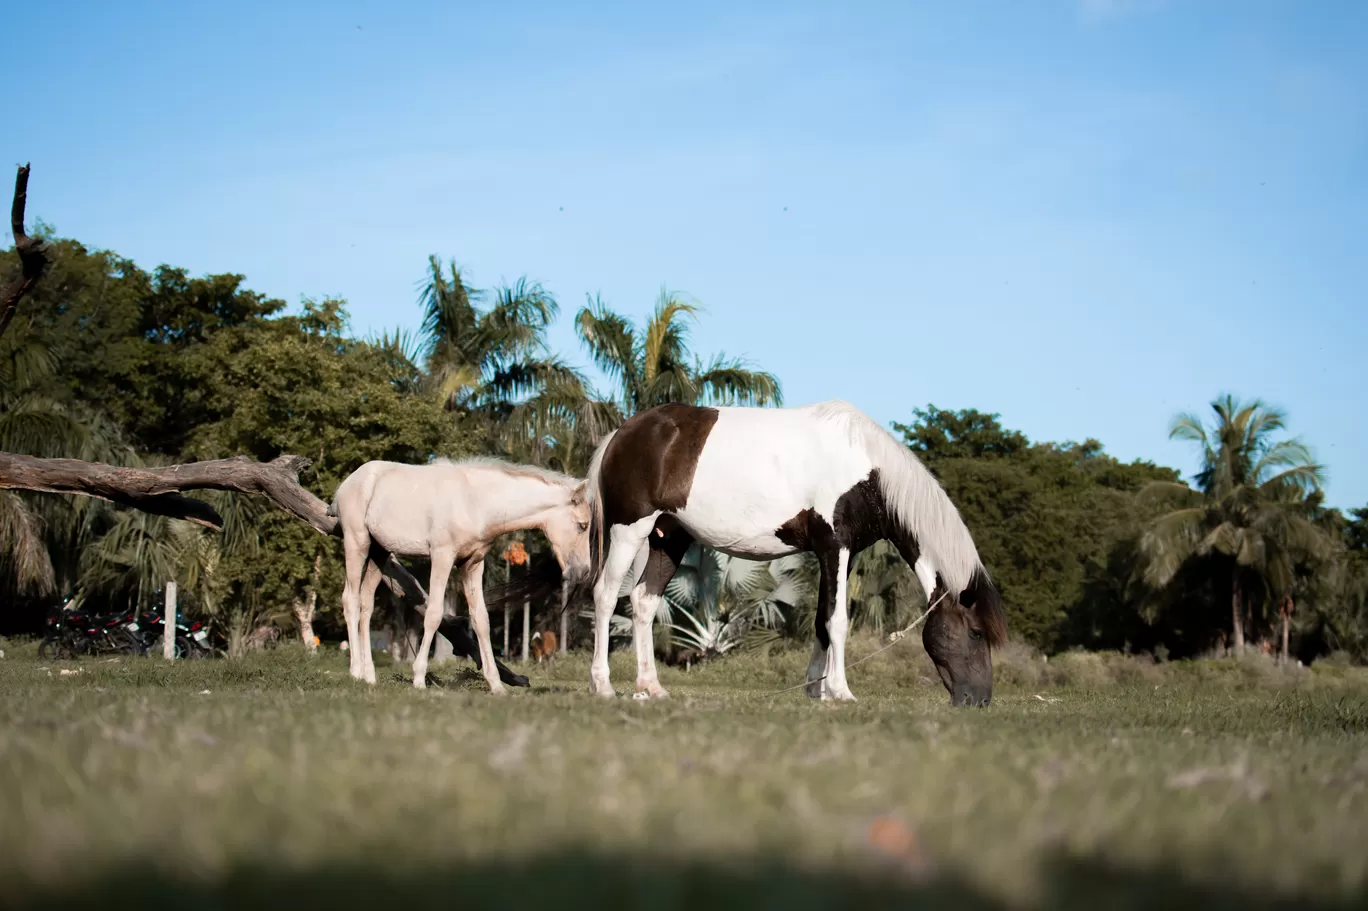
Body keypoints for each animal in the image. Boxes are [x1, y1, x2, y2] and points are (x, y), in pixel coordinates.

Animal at [331, 456, 593, 692]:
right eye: (583, 525)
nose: (584, 571)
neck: (476, 502)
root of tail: (348, 483)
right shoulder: (442, 556)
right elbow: (434, 613)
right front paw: (418, 679)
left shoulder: (472, 564)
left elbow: (481, 620)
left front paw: (496, 685)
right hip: (357, 543)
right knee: (351, 600)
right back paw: (355, 672)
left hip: (380, 553)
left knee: (366, 605)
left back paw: (369, 676)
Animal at [585, 402, 1006, 705]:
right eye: (975, 633)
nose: (980, 701)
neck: (868, 472)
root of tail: (621, 433)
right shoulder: (834, 547)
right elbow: (838, 621)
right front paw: (840, 691)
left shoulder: (841, 555)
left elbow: (822, 620)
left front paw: (815, 691)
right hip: (629, 531)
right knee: (606, 596)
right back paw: (602, 685)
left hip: (669, 538)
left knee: (643, 602)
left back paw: (650, 687)